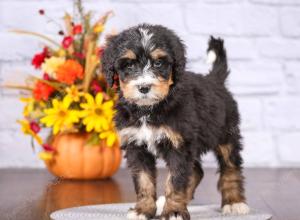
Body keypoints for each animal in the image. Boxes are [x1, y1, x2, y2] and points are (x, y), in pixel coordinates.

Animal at [102, 23, 250, 219]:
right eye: (130, 64)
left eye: (158, 63)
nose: (144, 87)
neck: (148, 110)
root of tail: (214, 80)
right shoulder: (136, 146)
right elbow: (144, 180)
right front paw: (144, 210)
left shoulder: (179, 145)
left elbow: (176, 180)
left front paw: (173, 211)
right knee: (196, 170)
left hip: (226, 135)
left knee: (230, 167)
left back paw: (234, 203)